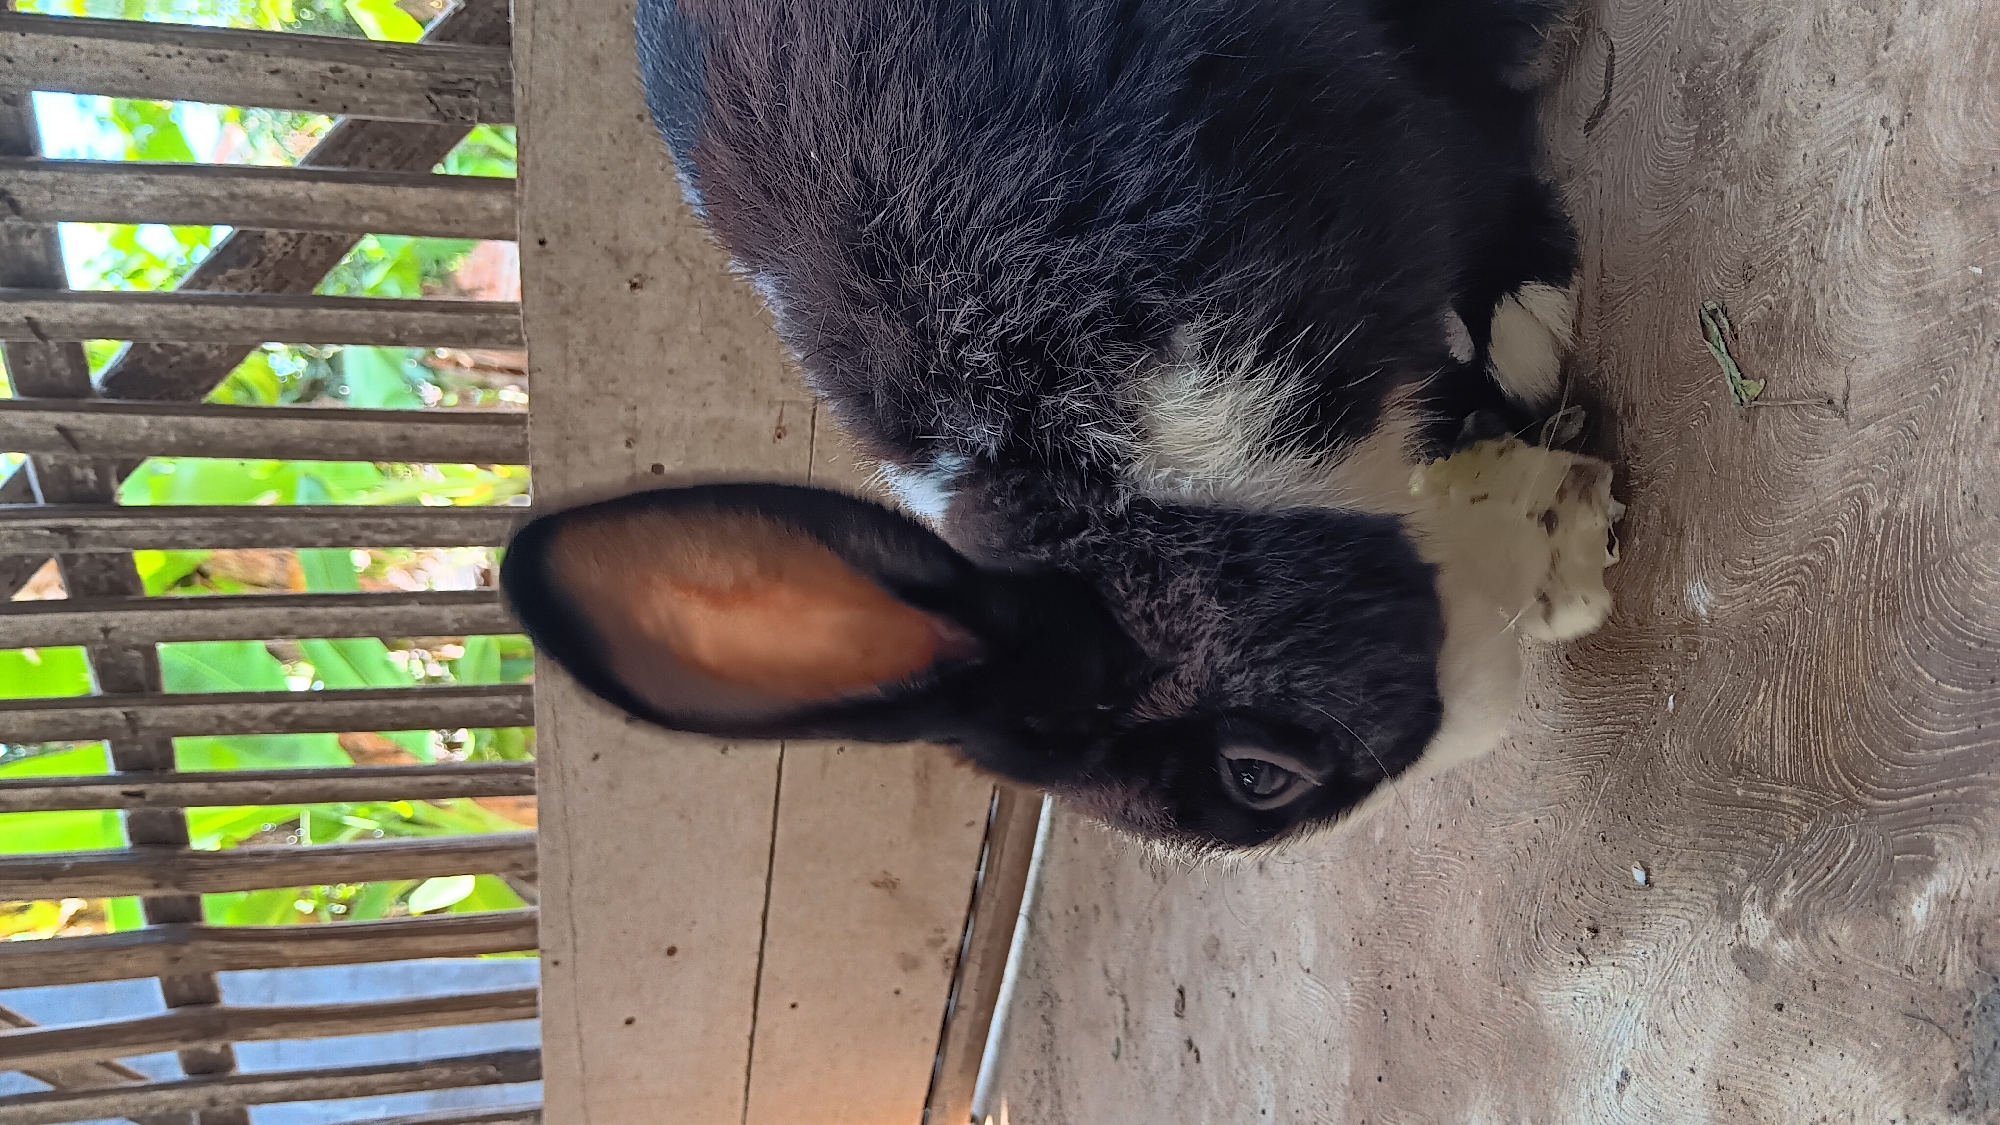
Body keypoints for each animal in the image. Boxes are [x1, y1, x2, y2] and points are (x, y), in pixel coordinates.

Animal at [501, 0, 1622, 852]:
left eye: (1253, 775)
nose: (1482, 726)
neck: (1079, 463)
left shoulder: (1365, 159)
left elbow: (1472, 182)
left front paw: (1524, 324)